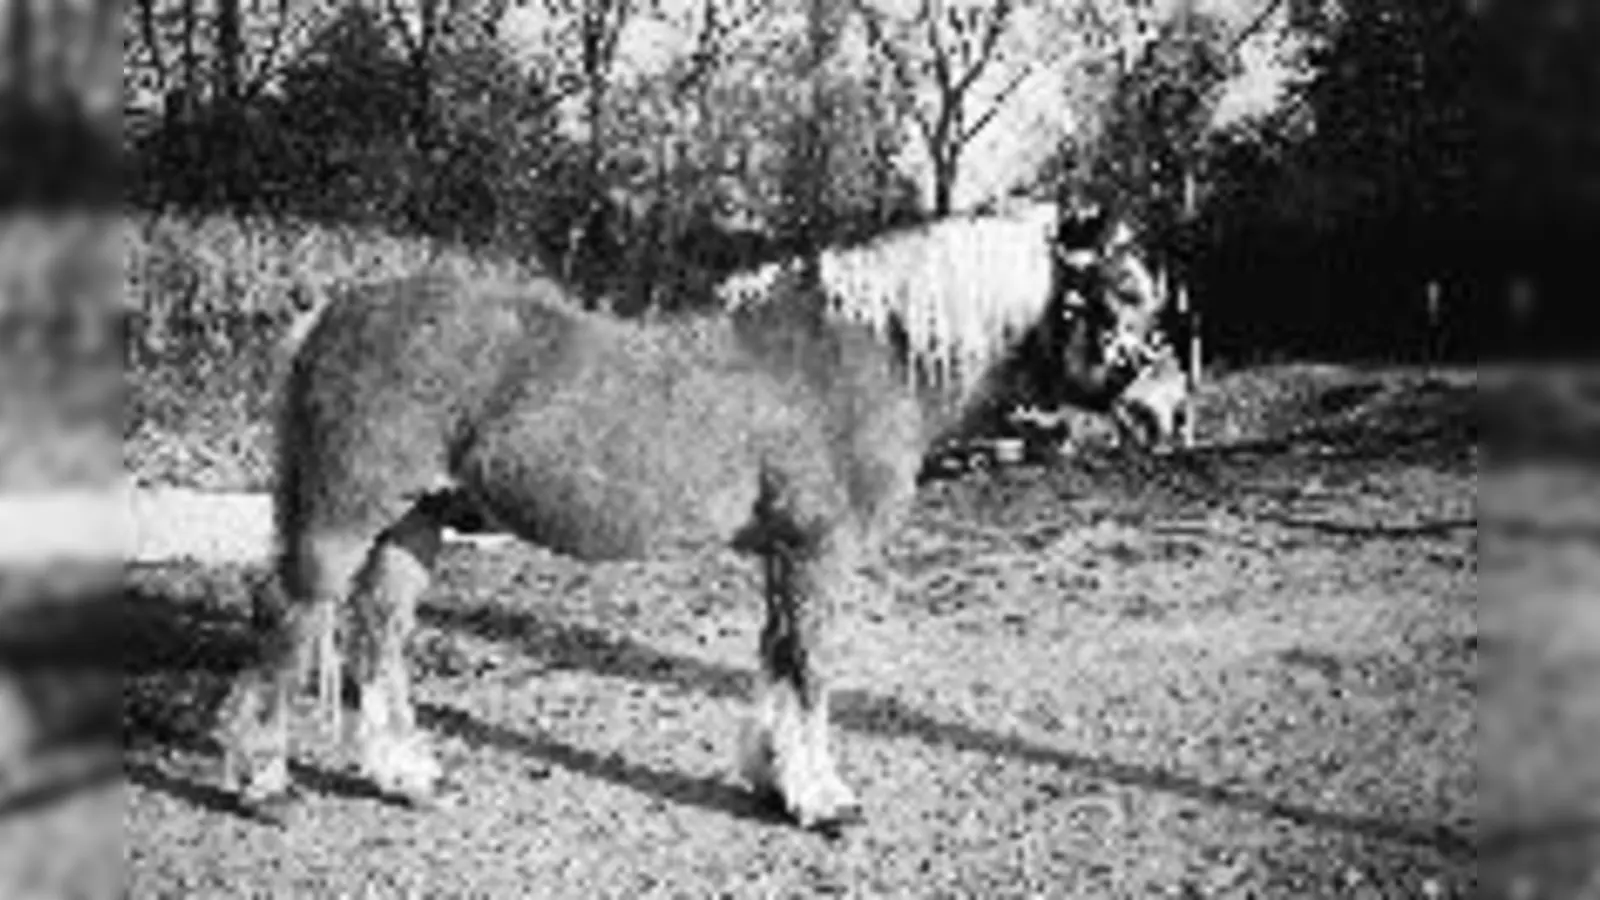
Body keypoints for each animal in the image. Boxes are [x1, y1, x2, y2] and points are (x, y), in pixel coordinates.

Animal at [216, 201, 1181, 831]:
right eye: (1124, 295)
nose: (1172, 411)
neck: (861, 357)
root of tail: (328, 315)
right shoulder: (817, 553)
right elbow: (809, 668)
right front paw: (822, 800)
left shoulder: (784, 556)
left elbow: (774, 660)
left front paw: (770, 779)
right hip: (341, 521)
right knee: (286, 617)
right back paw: (264, 783)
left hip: (416, 524)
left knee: (378, 632)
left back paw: (402, 775)